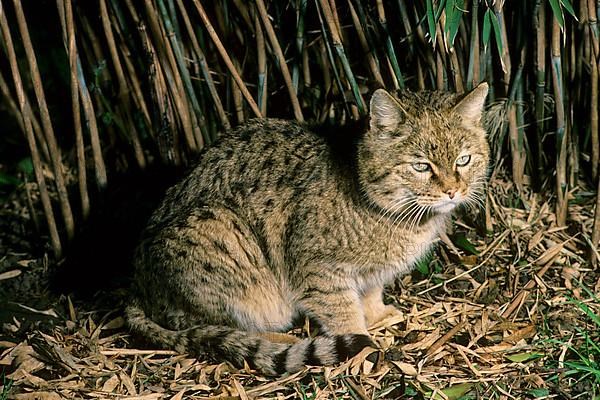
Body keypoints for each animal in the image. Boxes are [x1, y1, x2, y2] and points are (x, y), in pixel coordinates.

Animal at [125, 83, 488, 374]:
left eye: (464, 160)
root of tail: (136, 286)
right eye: (421, 166)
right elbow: (343, 313)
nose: (453, 191)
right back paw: (279, 339)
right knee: (205, 326)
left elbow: (370, 293)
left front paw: (378, 315)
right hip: (223, 237)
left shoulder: (370, 273)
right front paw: (362, 344)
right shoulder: (318, 272)